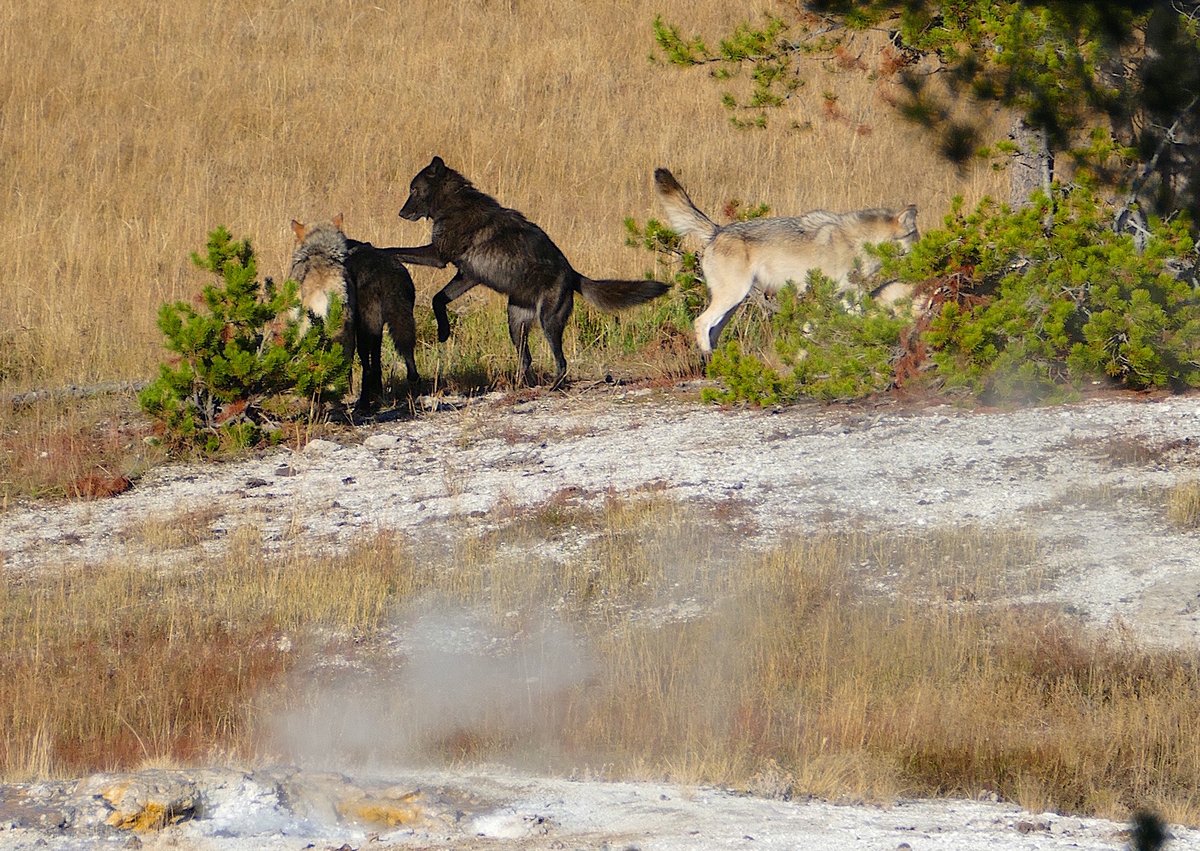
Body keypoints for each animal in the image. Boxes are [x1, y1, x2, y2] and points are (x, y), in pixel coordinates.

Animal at [388, 154, 672, 386]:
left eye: (414, 189)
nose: (400, 213)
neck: (454, 202)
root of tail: (572, 273)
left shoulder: (438, 256)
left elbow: (393, 249)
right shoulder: (467, 275)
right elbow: (438, 299)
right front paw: (444, 332)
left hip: (548, 323)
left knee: (561, 363)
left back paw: (552, 387)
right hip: (515, 324)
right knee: (526, 360)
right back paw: (523, 387)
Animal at [657, 168, 916, 352]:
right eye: (916, 237)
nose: (923, 254)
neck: (859, 243)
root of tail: (717, 230)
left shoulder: (847, 297)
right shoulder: (821, 296)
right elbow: (813, 328)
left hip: (733, 304)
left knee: (712, 330)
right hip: (732, 297)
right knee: (700, 323)